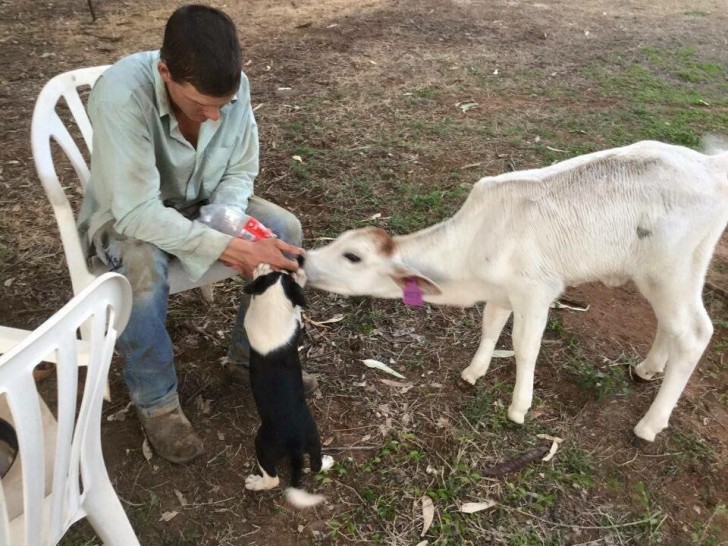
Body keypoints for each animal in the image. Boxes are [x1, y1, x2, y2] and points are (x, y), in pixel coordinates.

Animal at [245, 260, 336, 506]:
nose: (291, 268)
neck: (274, 302)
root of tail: (295, 443)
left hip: (263, 445)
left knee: (273, 479)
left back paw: (255, 483)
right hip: (314, 437)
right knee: (314, 465)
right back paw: (326, 462)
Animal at [304, 138, 728, 440]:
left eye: (352, 256)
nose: (304, 260)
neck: (471, 253)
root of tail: (709, 166)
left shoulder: (536, 290)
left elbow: (525, 347)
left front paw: (519, 407)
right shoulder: (500, 291)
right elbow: (490, 327)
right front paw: (473, 371)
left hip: (670, 270)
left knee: (694, 333)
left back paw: (650, 424)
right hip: (668, 272)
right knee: (671, 325)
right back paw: (647, 368)